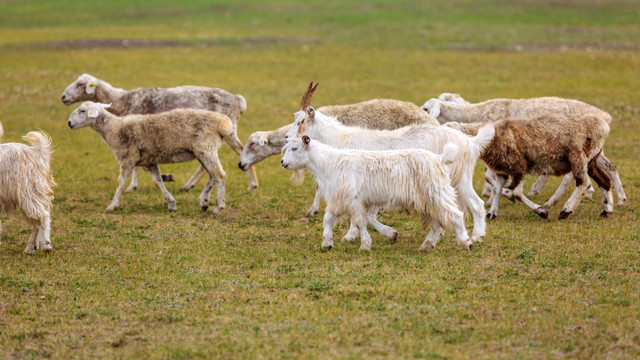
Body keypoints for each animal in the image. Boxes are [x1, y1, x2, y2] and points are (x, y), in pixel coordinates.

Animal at [61, 72, 258, 191]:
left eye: (80, 84)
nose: (63, 97)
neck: (122, 101)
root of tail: (238, 100)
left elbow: (137, 166)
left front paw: (134, 185)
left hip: (228, 130)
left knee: (241, 150)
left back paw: (253, 184)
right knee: (206, 164)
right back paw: (189, 185)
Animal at [68, 101, 232, 212]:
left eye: (82, 110)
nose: (69, 123)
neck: (113, 129)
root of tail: (222, 122)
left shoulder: (128, 159)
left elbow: (120, 182)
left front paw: (112, 205)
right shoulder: (149, 162)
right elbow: (158, 182)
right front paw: (171, 204)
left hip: (206, 149)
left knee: (219, 175)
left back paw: (219, 206)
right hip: (202, 152)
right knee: (212, 175)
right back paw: (204, 201)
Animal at [282, 135, 472, 253]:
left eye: (295, 148)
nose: (282, 162)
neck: (330, 163)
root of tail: (439, 158)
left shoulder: (354, 199)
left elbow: (360, 222)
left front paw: (365, 245)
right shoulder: (340, 199)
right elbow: (328, 219)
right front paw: (326, 243)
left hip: (437, 194)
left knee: (456, 215)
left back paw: (466, 242)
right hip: (428, 200)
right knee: (438, 224)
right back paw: (426, 245)